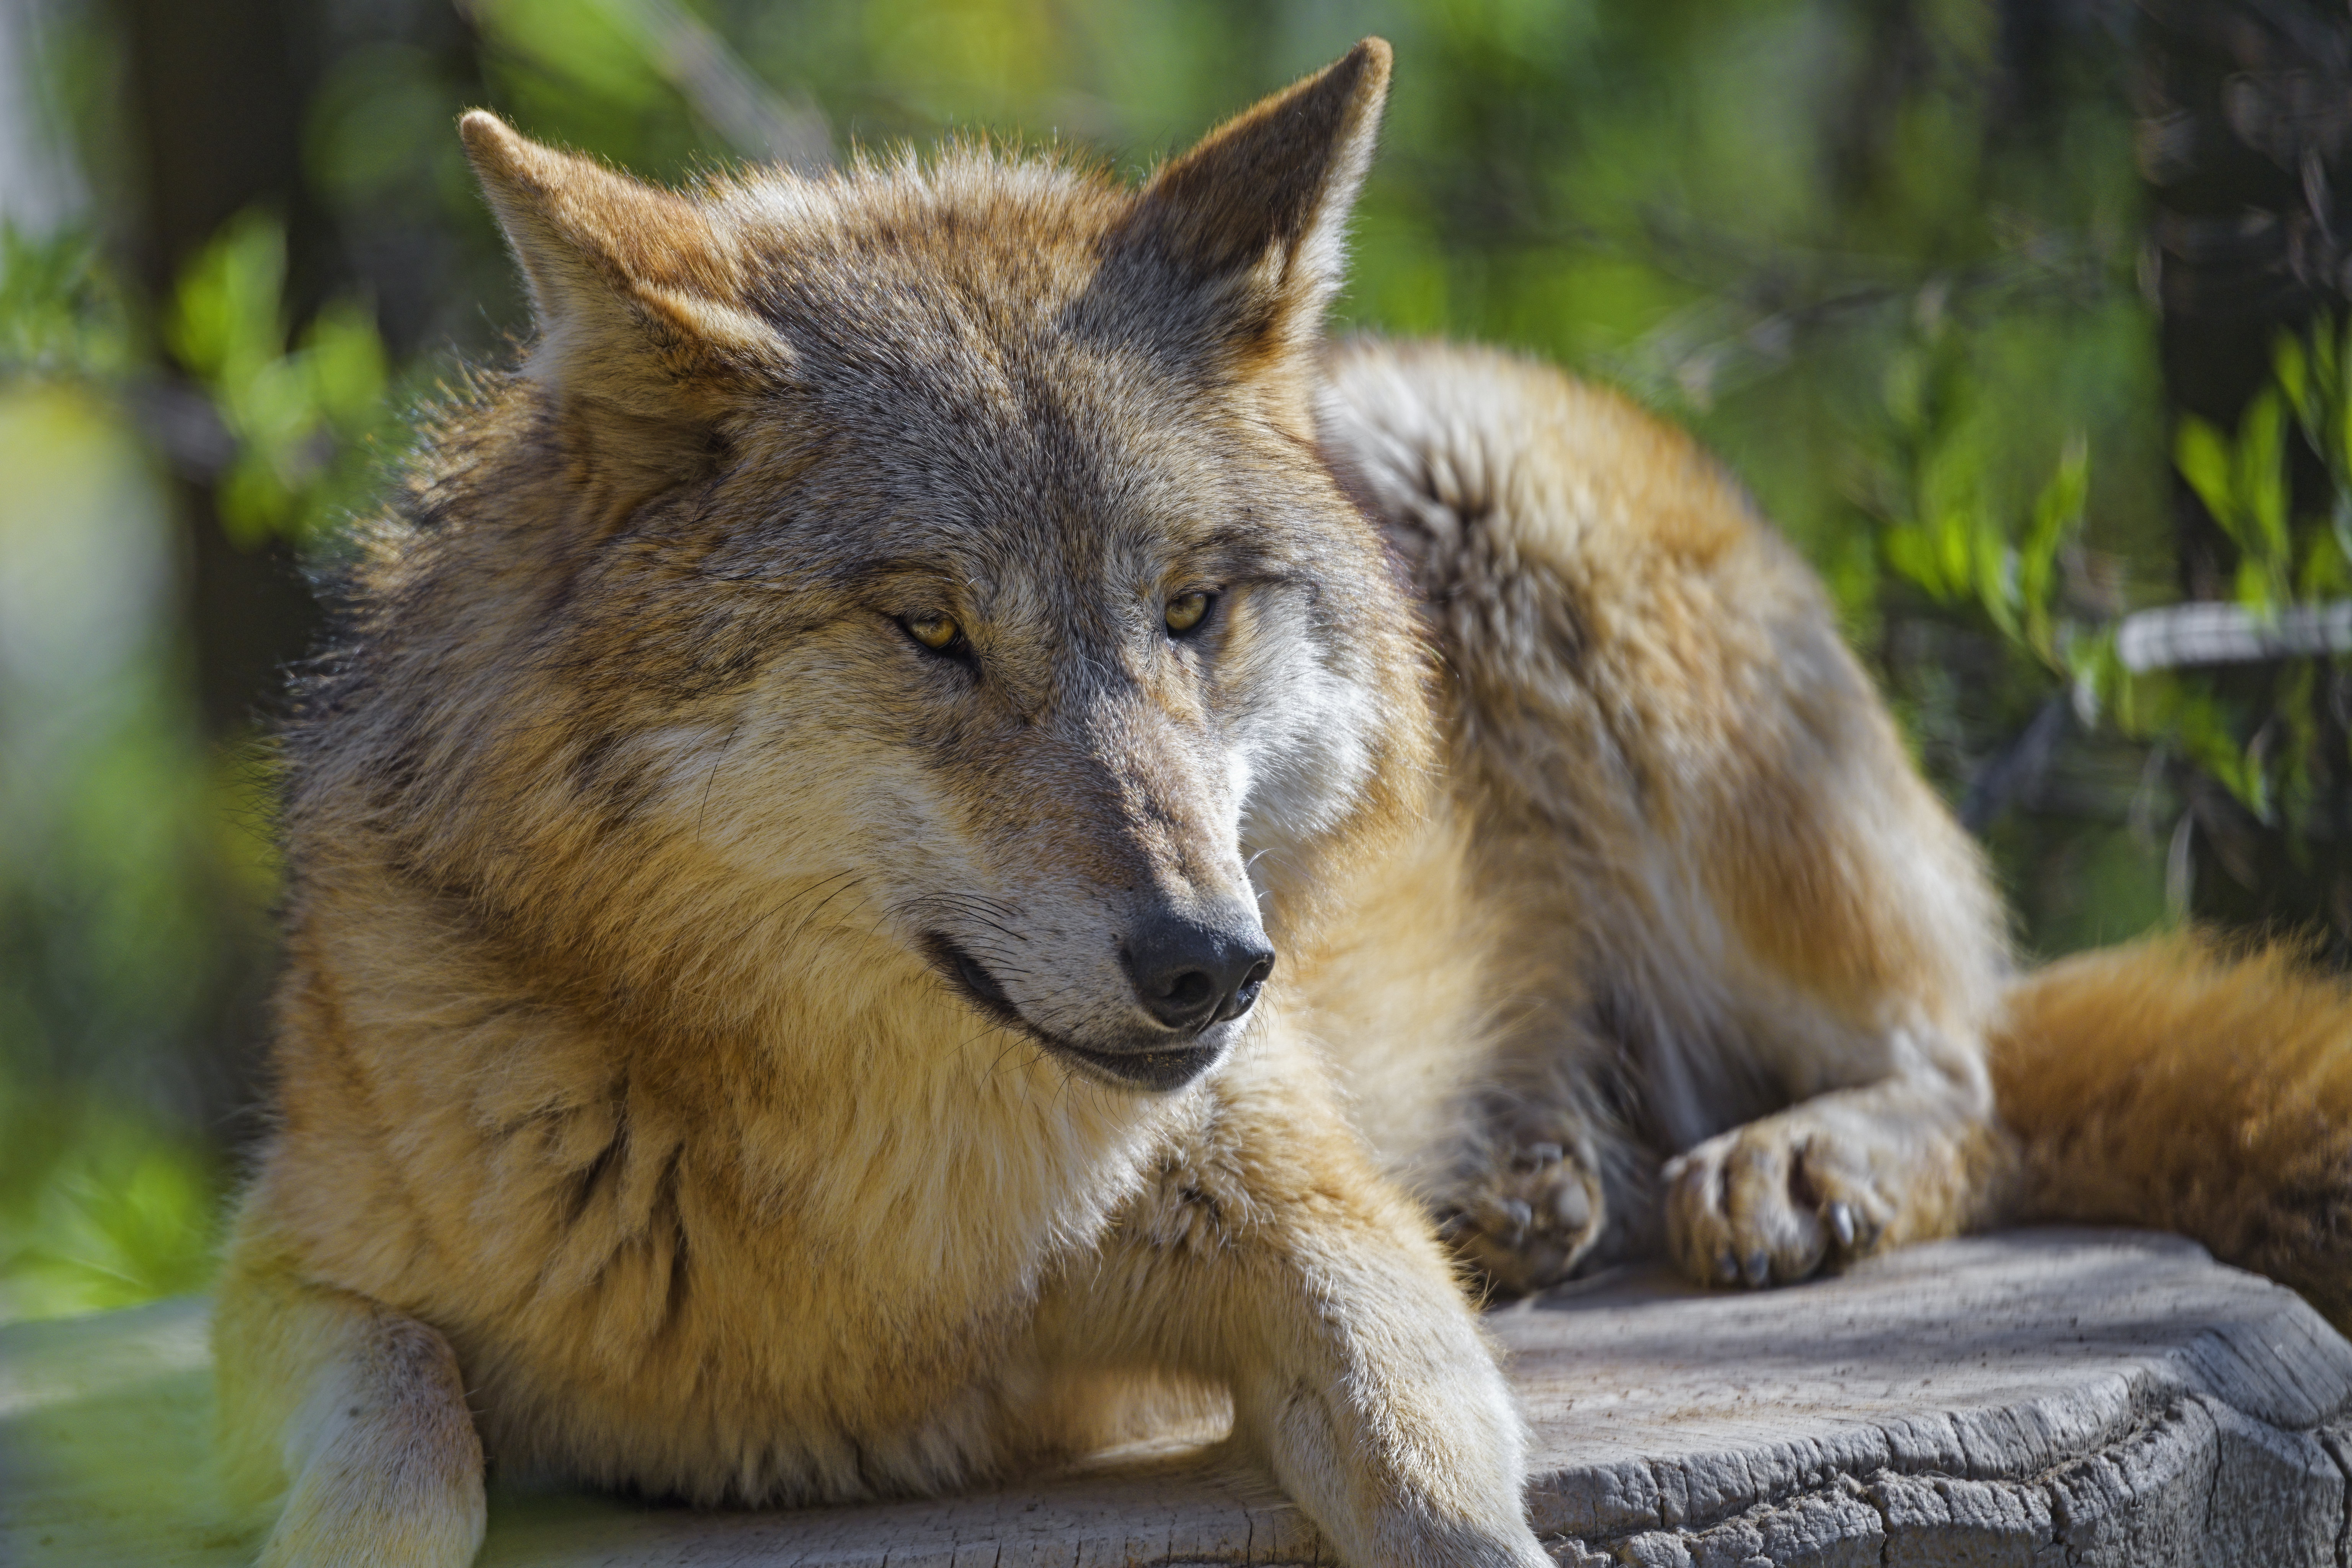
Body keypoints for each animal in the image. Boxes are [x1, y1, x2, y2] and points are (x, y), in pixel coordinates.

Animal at [211, 36, 2352, 1568]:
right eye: (929, 630)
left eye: (1188, 611)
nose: (1211, 969)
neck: (885, 1233)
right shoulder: (286, 1283)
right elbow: (399, 1451)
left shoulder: (1314, 1237)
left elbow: (1432, 1473)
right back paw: (1533, 1186)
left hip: (1519, 513)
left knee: (1970, 1060)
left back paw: (1774, 1165)